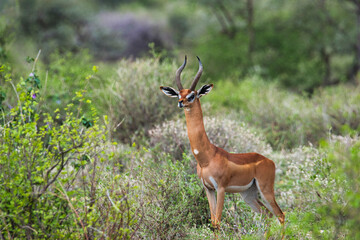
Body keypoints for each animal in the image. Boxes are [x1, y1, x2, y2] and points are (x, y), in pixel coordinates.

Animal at [160, 55, 284, 229]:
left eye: (192, 95)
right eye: (179, 94)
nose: (181, 102)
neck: (207, 157)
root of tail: (269, 161)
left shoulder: (221, 188)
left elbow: (217, 222)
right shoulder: (208, 189)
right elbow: (213, 221)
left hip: (265, 190)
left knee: (280, 215)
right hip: (248, 194)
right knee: (267, 216)